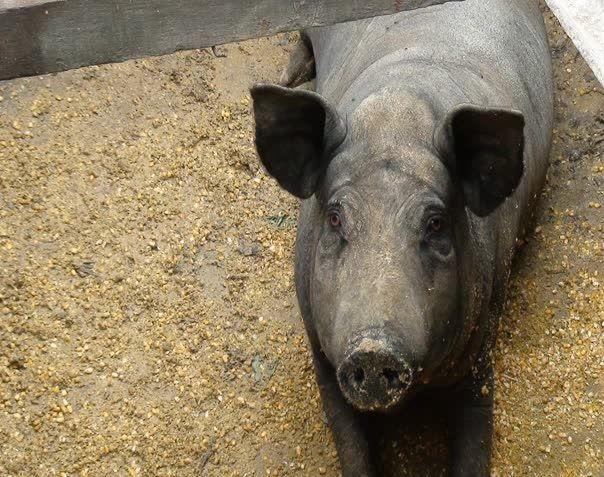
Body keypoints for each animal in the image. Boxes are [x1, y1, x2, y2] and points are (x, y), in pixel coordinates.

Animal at [249, 0, 552, 472]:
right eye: (334, 217)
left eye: (435, 223)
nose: (373, 349)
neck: (396, 123)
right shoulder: (320, 350)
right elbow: (351, 447)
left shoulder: (483, 343)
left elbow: (476, 444)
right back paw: (285, 78)